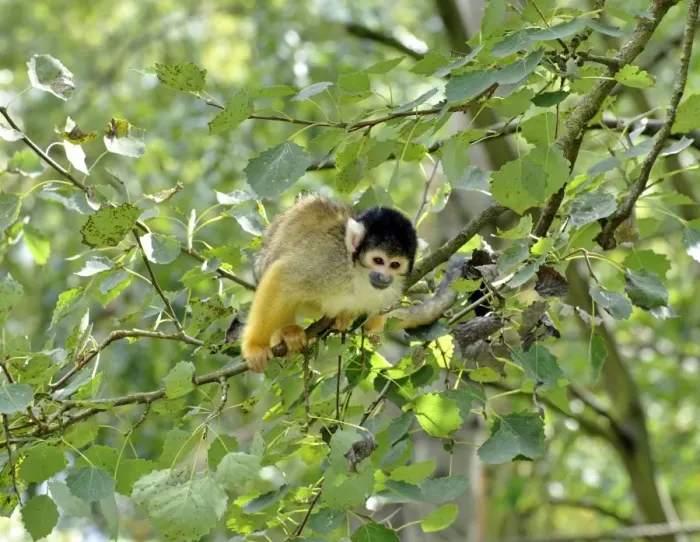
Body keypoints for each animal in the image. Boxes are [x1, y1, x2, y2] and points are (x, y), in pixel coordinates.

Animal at [241, 195, 418, 373]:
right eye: (378, 260)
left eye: (395, 265)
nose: (384, 278)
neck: (356, 272)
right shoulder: (329, 260)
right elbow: (282, 275)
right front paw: (255, 347)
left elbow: (371, 325)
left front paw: (359, 319)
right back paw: (286, 332)